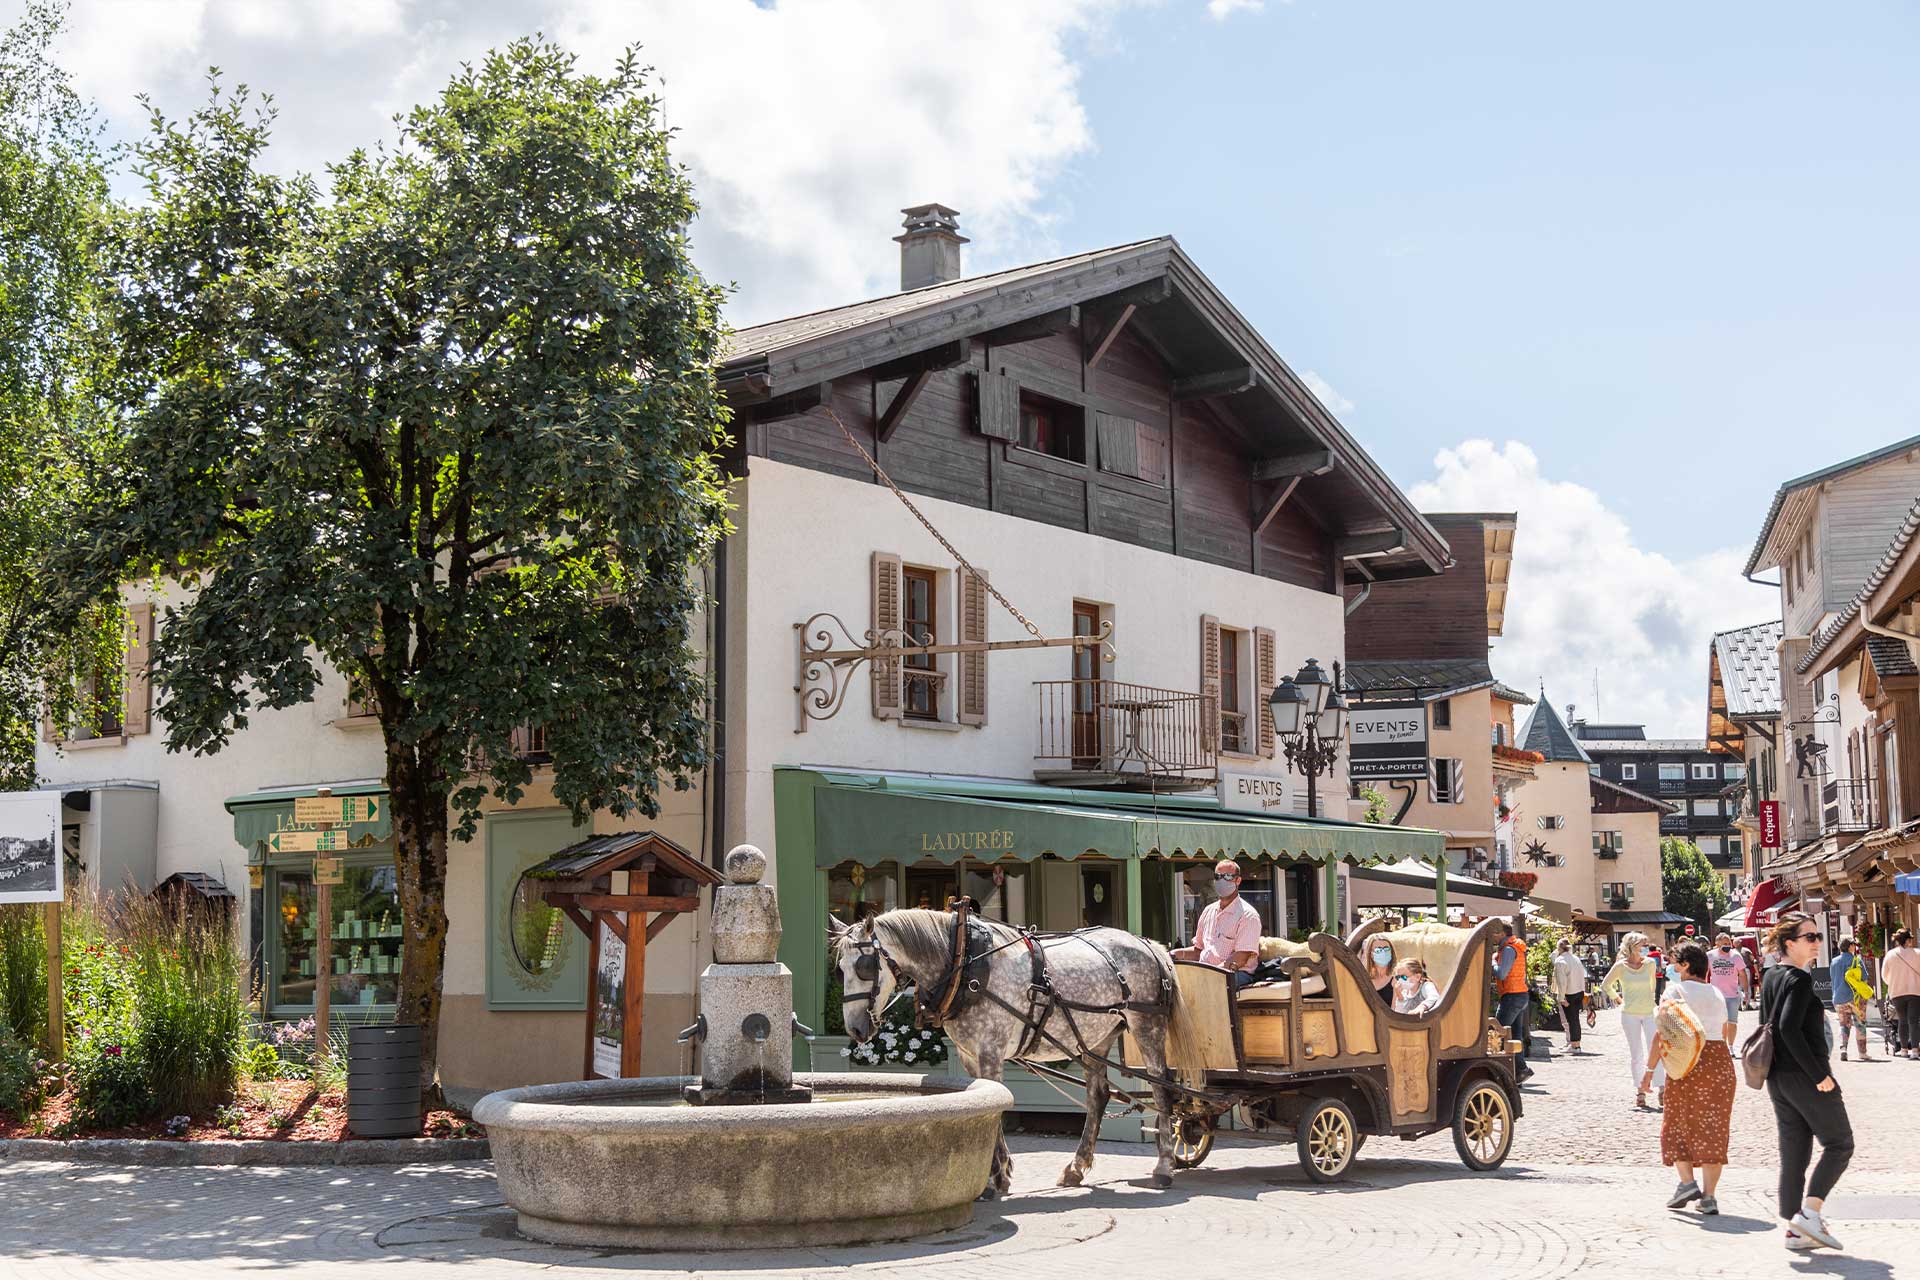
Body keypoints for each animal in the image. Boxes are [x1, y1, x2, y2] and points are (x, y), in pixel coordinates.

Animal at [825, 905, 1198, 1197]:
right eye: (840, 970)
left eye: (865, 967)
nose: (855, 1028)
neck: (964, 963)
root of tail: (1148, 944)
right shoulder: (968, 1055)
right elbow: (985, 1101)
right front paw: (996, 1175)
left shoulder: (990, 1050)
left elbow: (997, 1105)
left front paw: (997, 1176)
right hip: (1095, 1037)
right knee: (1098, 1095)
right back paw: (1076, 1167)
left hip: (1146, 1027)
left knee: (1162, 1090)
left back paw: (1164, 1166)